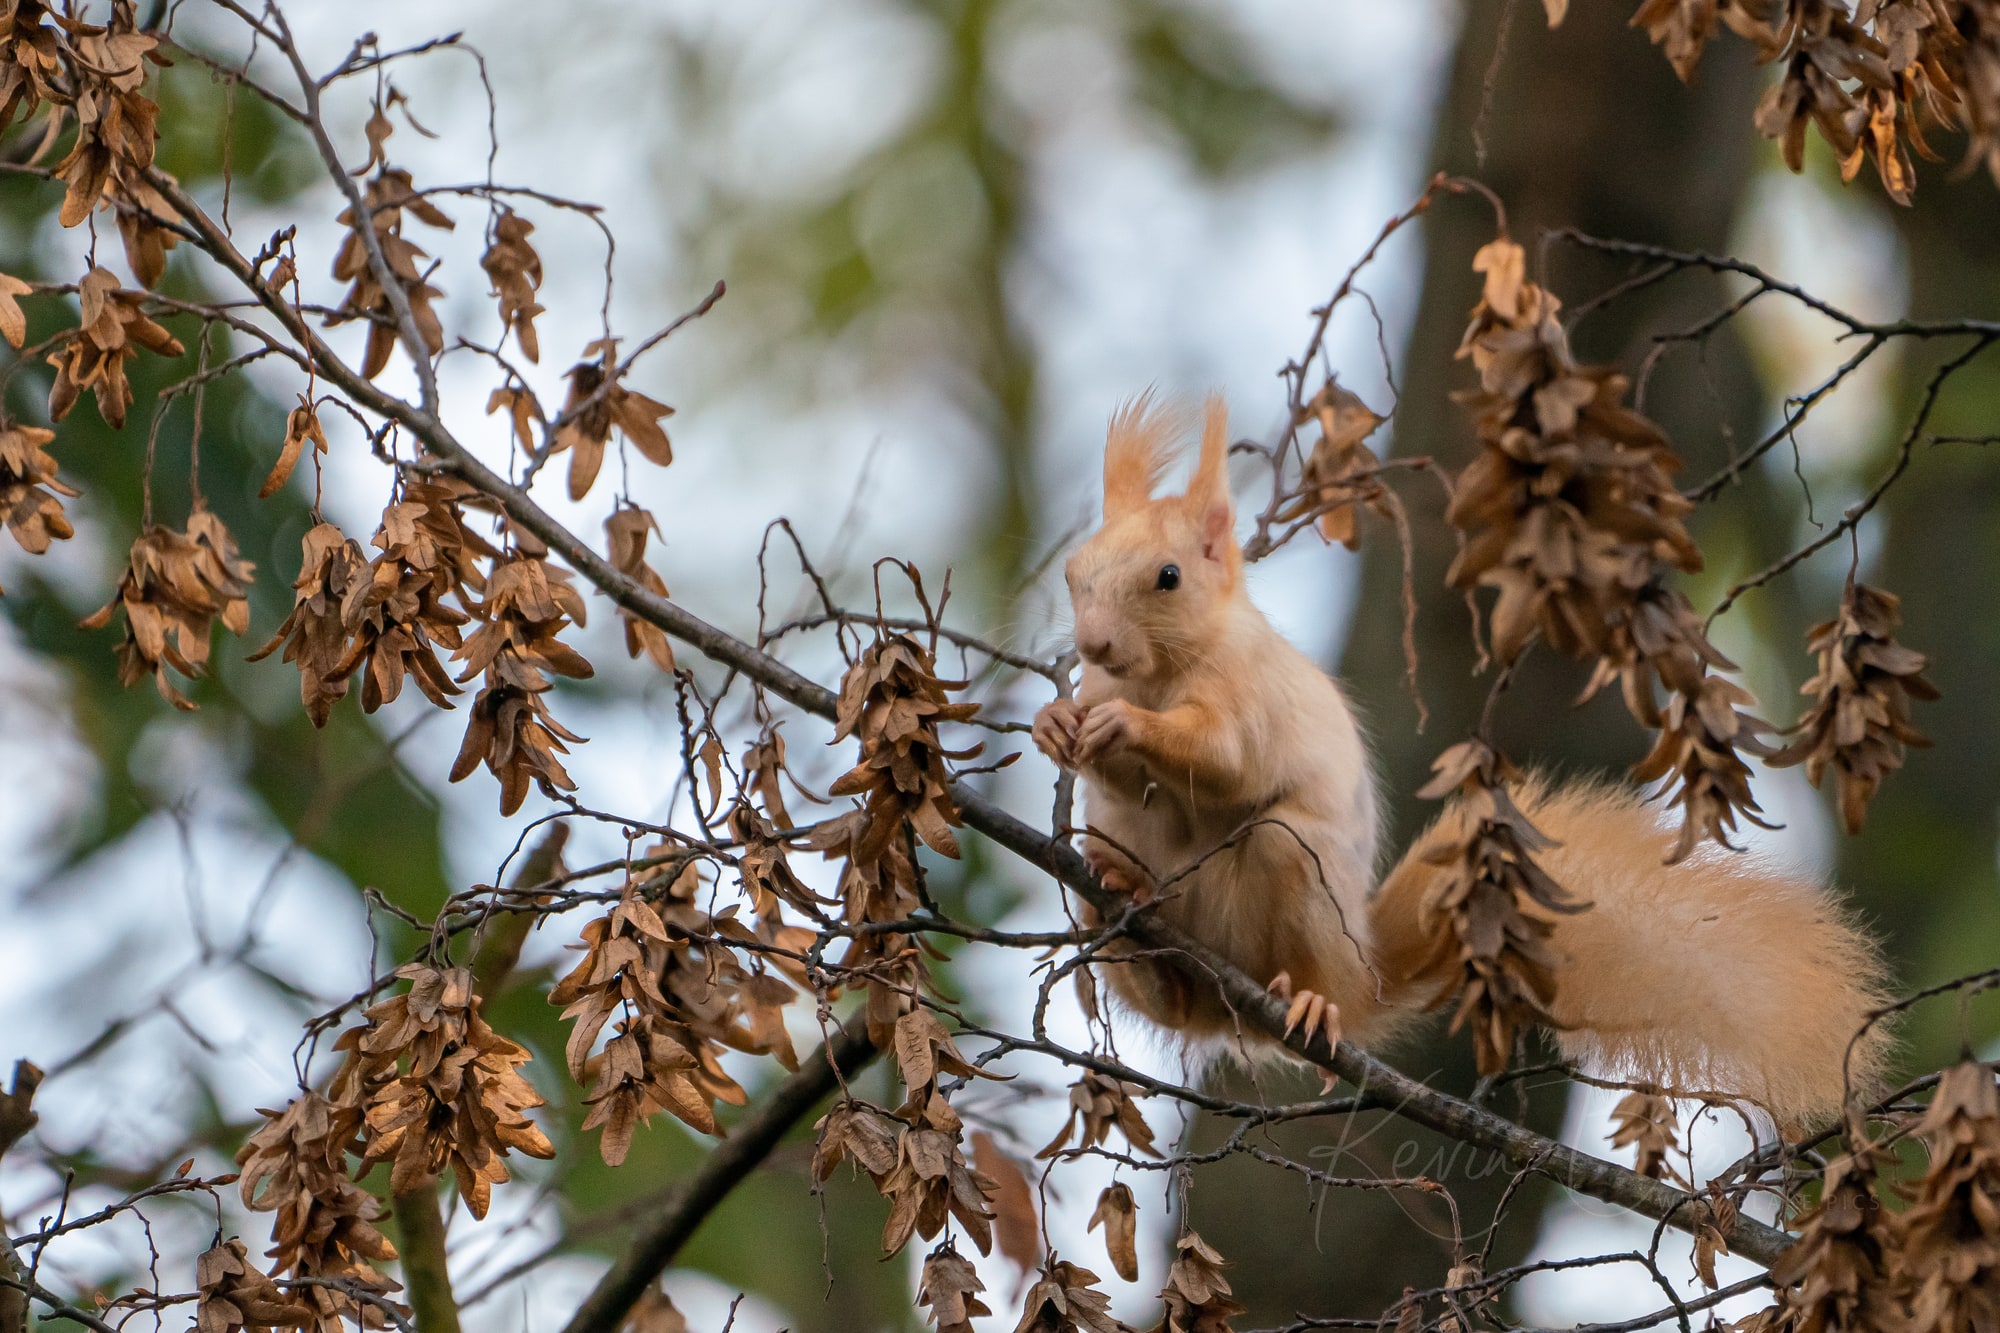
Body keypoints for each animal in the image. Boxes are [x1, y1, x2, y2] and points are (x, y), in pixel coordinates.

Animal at [1032, 395, 1889, 1129]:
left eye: (1169, 578)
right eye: (1073, 573)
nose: (1093, 646)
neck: (1159, 672)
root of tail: (1363, 977)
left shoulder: (1247, 696)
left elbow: (1223, 759)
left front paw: (1122, 725)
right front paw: (1055, 722)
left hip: (1297, 881)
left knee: (1287, 917)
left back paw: (1308, 1003)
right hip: (1129, 879)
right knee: (1165, 992)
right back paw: (1124, 904)